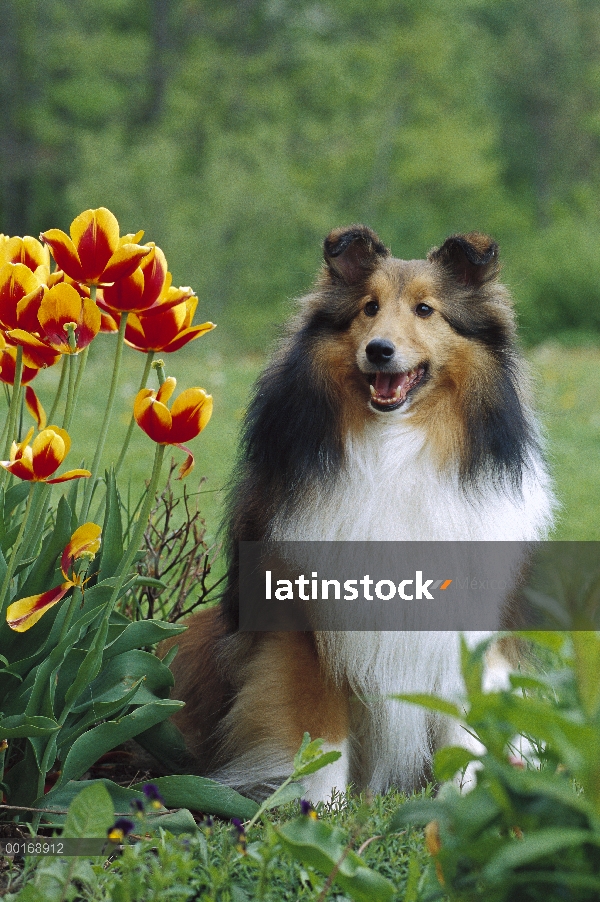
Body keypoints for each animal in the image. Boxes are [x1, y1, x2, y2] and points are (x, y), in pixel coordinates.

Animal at [163, 228, 552, 804]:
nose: (379, 350)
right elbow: (321, 730)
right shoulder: (301, 626)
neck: (395, 447)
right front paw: (322, 808)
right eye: (369, 308)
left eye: (425, 310)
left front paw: (461, 801)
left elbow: (466, 721)